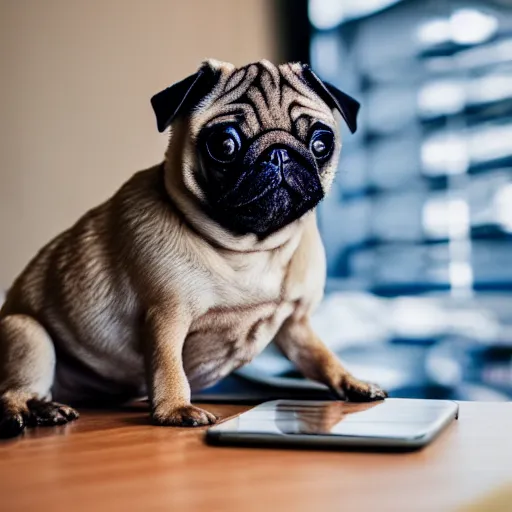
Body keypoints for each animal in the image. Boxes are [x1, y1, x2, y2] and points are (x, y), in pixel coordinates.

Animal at [0, 59, 384, 436]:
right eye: (224, 145)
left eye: (321, 143)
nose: (279, 153)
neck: (251, 247)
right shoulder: (166, 317)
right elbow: (168, 367)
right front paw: (175, 410)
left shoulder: (296, 325)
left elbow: (321, 357)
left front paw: (351, 381)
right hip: (27, 333)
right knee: (13, 390)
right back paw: (25, 414)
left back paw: (46, 409)